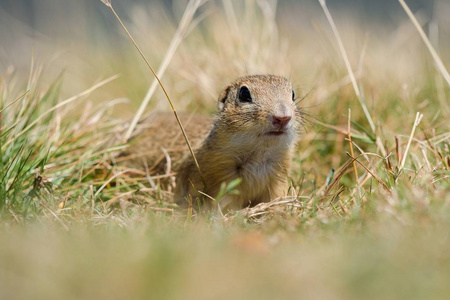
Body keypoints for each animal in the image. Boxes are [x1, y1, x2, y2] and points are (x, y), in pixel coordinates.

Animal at [123, 74, 300, 211]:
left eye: (292, 94)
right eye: (244, 94)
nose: (283, 117)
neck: (259, 154)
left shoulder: (278, 175)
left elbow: (276, 197)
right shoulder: (220, 176)